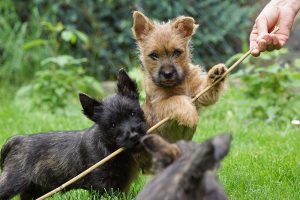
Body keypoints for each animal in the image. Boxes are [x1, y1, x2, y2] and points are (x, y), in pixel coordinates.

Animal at [0, 69, 146, 200]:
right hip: (12, 180)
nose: (134, 135)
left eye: (132, 113)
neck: (109, 147)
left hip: (34, 188)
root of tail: (18, 139)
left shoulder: (120, 184)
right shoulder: (101, 184)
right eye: (113, 124)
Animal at [131, 10, 227, 143]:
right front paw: (190, 113)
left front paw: (215, 74)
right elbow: (174, 99)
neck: (178, 84)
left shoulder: (199, 94)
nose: (167, 74)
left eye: (176, 52)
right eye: (154, 55)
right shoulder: (159, 108)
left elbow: (206, 91)